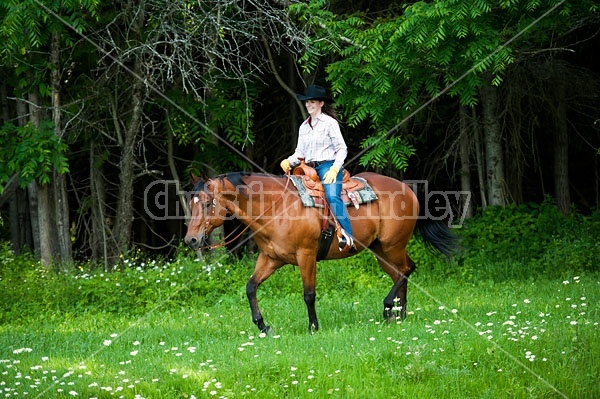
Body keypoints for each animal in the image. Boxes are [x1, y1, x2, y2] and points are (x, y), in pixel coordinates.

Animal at [185, 172, 458, 334]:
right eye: (191, 203)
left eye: (207, 203)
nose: (191, 240)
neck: (276, 208)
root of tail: (407, 188)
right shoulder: (271, 259)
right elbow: (251, 287)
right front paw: (263, 326)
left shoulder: (306, 255)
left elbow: (309, 294)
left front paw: (313, 326)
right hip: (381, 250)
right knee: (400, 273)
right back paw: (399, 315)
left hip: (393, 245)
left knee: (407, 270)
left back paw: (388, 308)